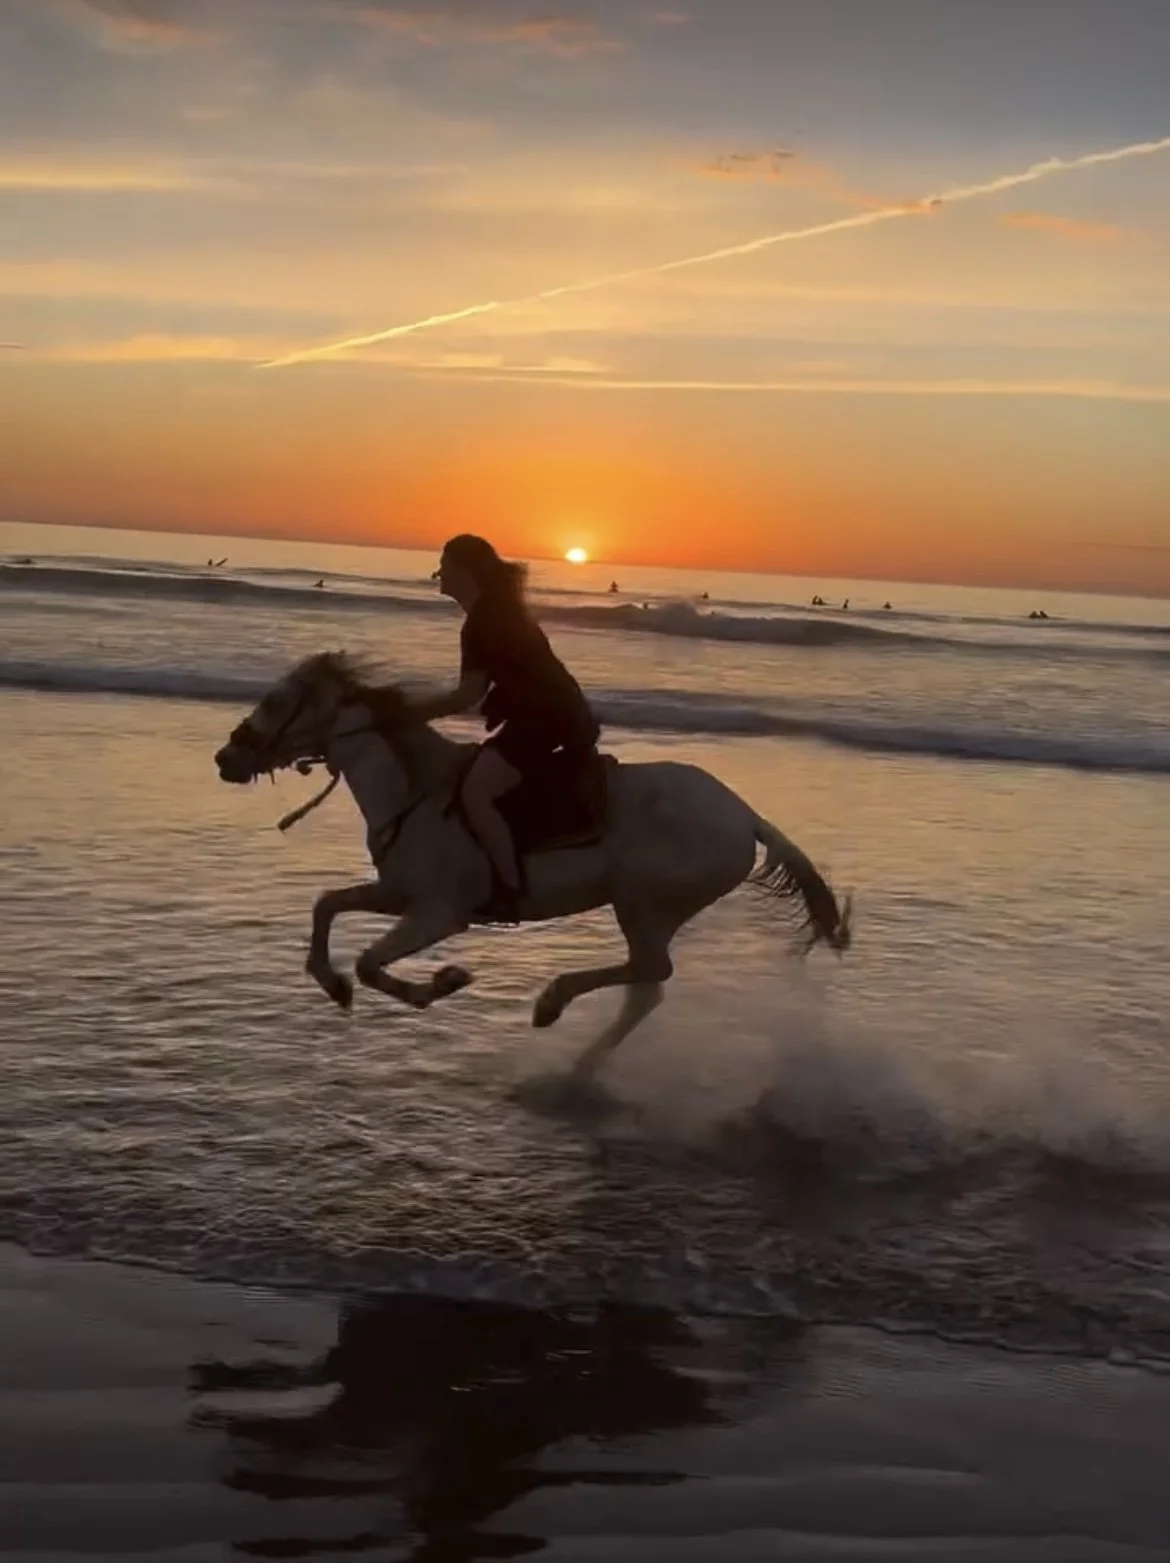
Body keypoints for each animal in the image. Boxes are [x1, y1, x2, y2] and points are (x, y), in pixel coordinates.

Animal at [214, 652, 851, 1079]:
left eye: (276, 702)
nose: (225, 758)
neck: (414, 790)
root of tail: (746, 815)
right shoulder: (398, 894)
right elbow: (327, 906)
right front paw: (332, 983)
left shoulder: (440, 914)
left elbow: (371, 962)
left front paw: (442, 982)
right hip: (650, 909)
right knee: (646, 988)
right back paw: (578, 1069)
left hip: (642, 900)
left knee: (652, 972)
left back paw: (552, 1005)